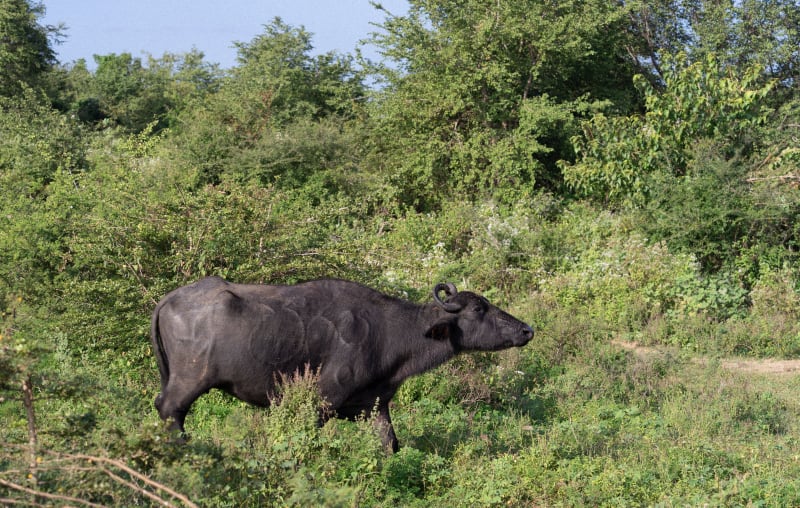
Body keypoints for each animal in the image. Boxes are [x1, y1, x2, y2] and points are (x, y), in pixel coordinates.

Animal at [150, 276, 533, 451]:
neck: (387, 331)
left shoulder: (373, 405)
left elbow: (390, 443)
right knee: (171, 410)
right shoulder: (321, 402)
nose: (527, 329)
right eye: (479, 308)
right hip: (188, 381)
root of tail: (169, 299)